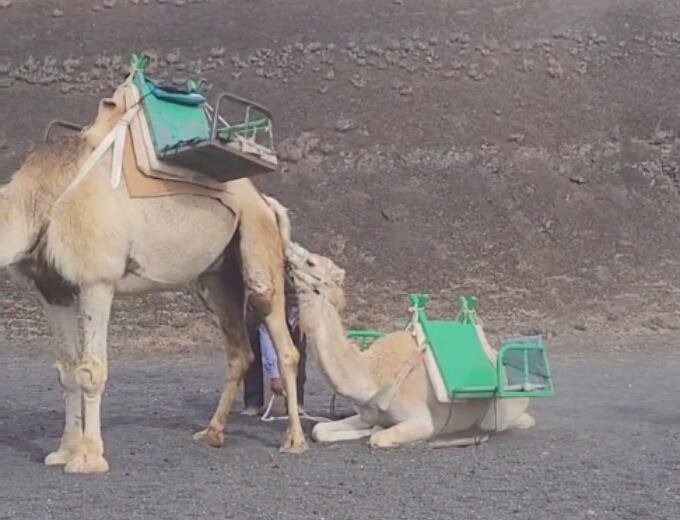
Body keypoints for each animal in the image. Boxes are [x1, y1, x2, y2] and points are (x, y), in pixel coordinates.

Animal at [0, 91, 306, 474]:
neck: (37, 201)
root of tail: (266, 202)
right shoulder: (52, 289)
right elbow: (67, 371)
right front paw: (64, 451)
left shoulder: (97, 280)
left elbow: (92, 370)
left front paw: (89, 457)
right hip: (217, 279)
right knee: (240, 352)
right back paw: (212, 433)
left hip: (259, 245)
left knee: (284, 344)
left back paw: (294, 440)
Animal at [286, 246, 536, 448]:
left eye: (311, 262)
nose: (287, 254)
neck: (371, 374)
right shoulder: (367, 414)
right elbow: (319, 429)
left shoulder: (420, 420)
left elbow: (379, 438)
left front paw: (377, 432)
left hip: (501, 412)